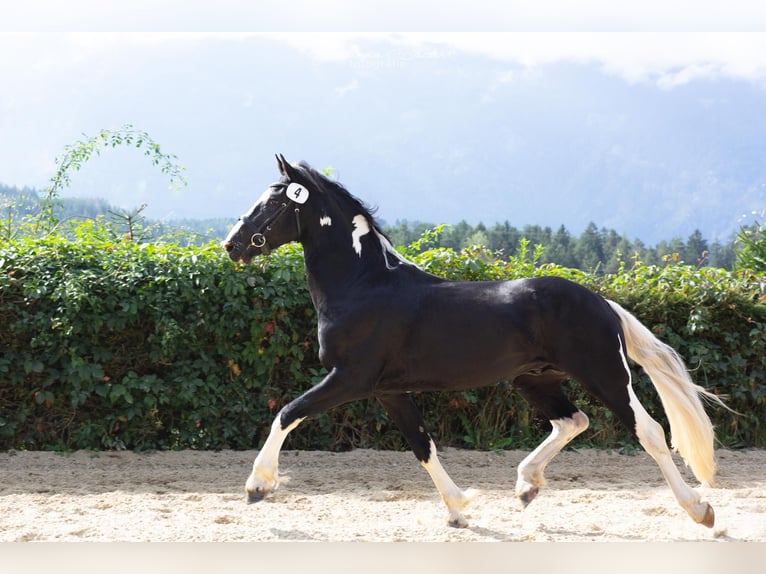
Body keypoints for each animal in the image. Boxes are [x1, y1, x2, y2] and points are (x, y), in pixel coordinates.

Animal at [224, 156, 728, 532]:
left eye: (274, 201)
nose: (232, 245)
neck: (364, 285)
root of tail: (603, 302)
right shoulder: (389, 390)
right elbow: (422, 445)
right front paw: (459, 509)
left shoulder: (350, 378)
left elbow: (288, 413)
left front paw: (257, 486)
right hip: (535, 379)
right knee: (573, 420)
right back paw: (526, 485)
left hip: (605, 373)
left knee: (650, 432)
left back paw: (701, 511)